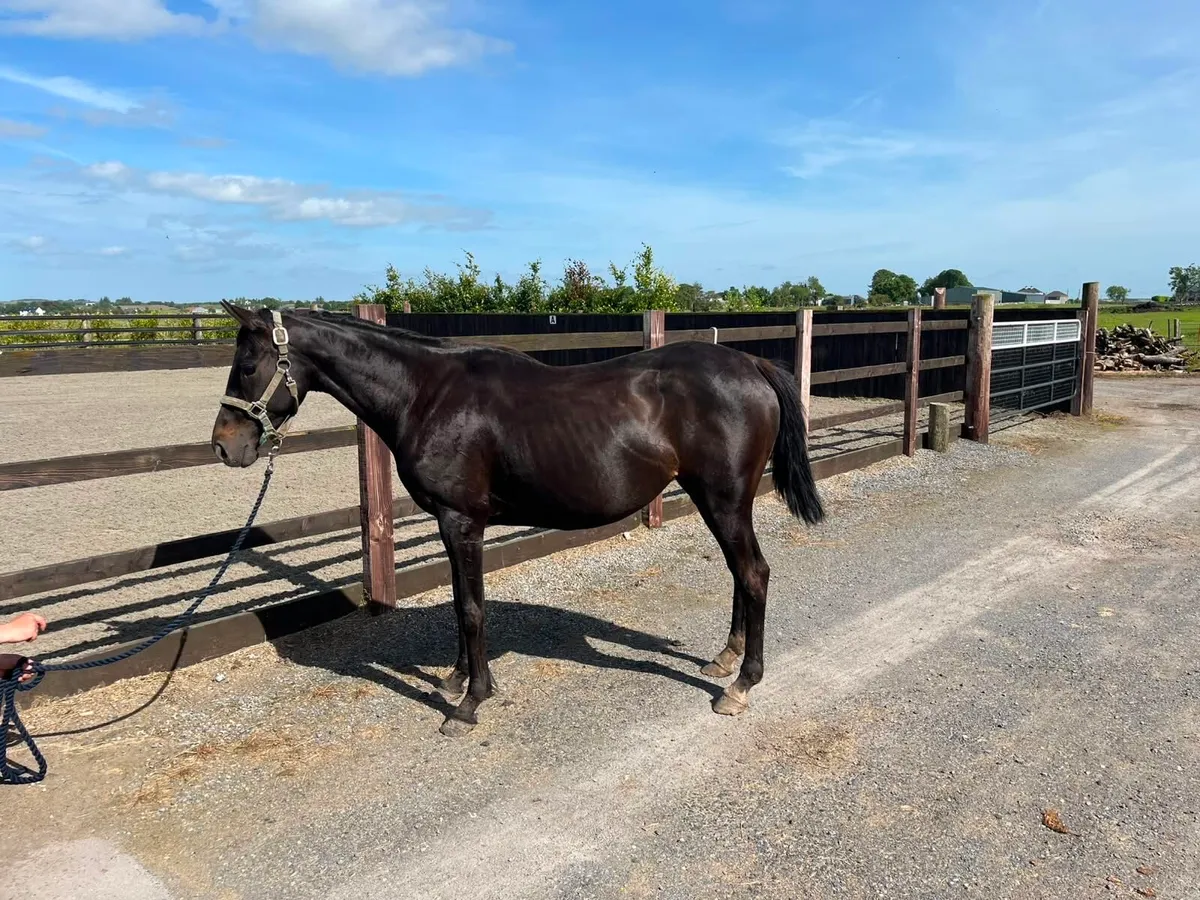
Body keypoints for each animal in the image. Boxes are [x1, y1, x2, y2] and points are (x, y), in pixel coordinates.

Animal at [211, 302, 824, 736]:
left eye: (247, 364)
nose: (223, 445)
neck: (427, 394)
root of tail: (750, 363)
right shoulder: (454, 524)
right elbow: (461, 602)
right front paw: (457, 677)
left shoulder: (461, 521)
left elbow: (471, 608)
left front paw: (469, 702)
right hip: (718, 500)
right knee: (740, 575)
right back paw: (725, 660)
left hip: (723, 499)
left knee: (754, 574)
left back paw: (741, 685)